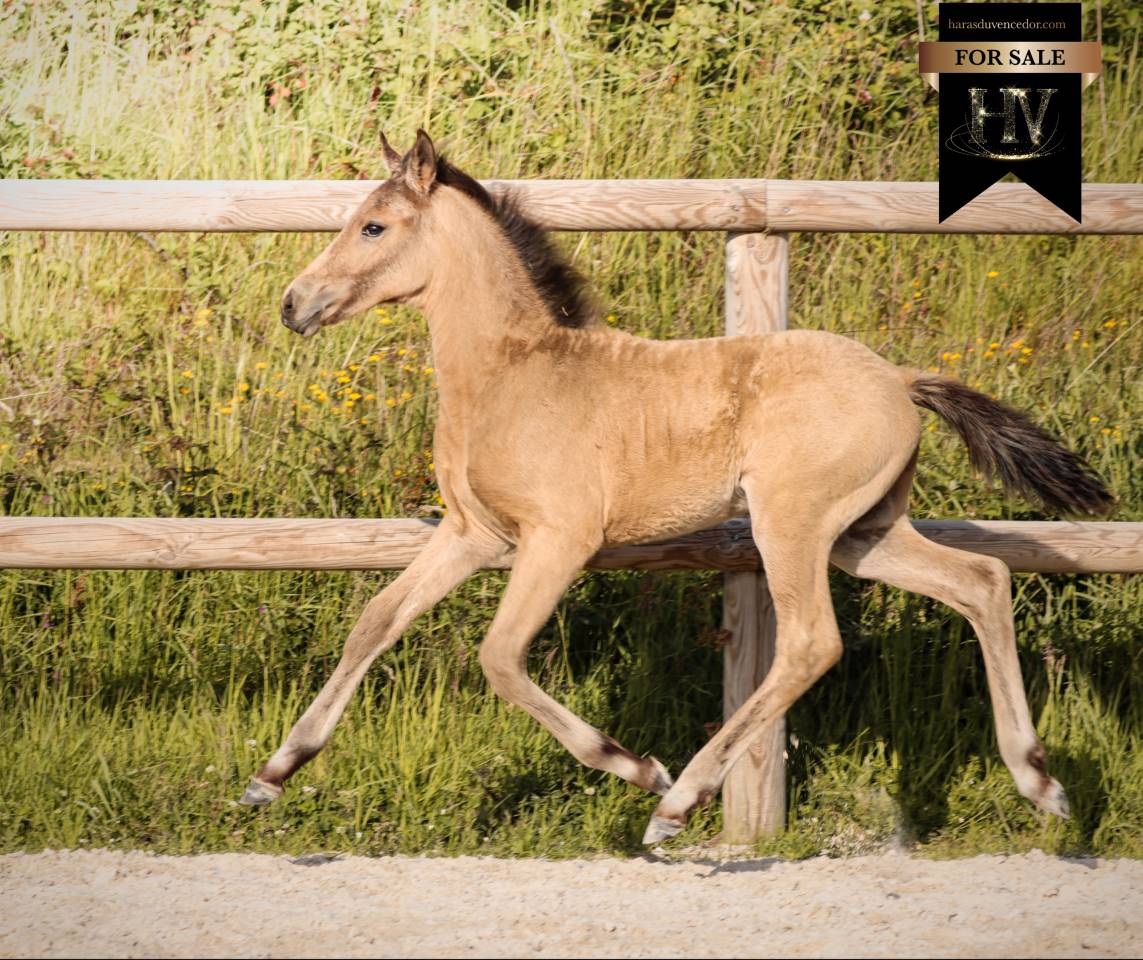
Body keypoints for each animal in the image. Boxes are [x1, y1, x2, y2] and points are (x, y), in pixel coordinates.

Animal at [242, 130, 1113, 845]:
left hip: (791, 525)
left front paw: (634, 766)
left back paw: (677, 801)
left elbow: (500, 658)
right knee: (981, 580)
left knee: (810, 642)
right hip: (864, 534)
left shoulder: (559, 539)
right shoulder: (471, 534)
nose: (293, 303)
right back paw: (1040, 783)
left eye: (374, 226)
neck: (508, 372)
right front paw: (273, 773)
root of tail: (899, 380)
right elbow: (376, 620)